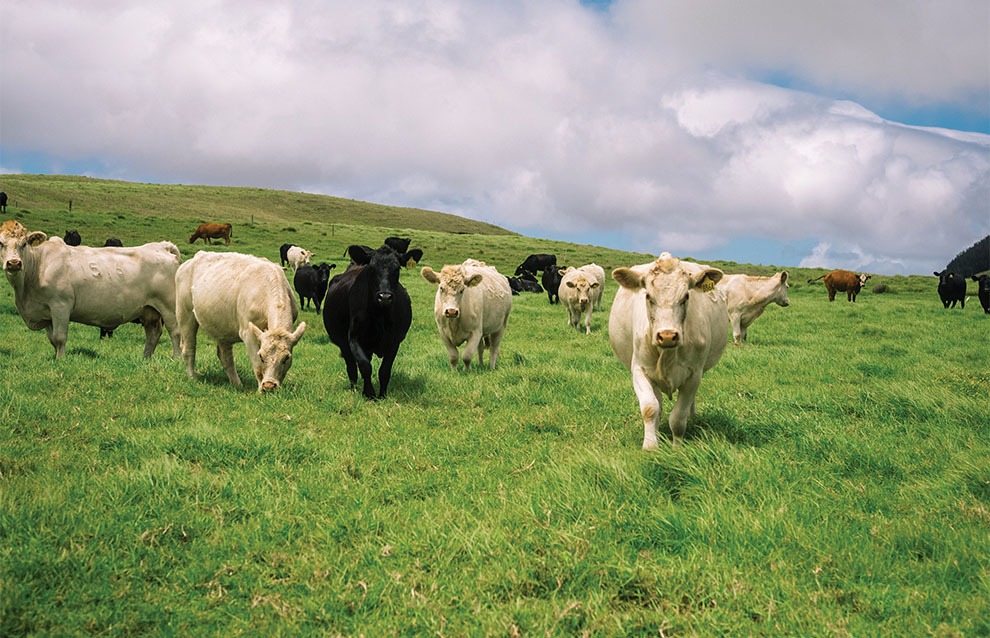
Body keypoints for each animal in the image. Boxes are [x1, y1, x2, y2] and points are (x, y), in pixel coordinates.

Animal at [0, 220, 182, 359]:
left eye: (24, 244)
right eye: (1, 244)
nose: (14, 263)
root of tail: (162, 246)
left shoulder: (60, 305)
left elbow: (59, 338)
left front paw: (61, 360)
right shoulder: (47, 312)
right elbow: (52, 340)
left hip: (169, 307)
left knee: (176, 333)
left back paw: (176, 359)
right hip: (149, 310)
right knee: (153, 333)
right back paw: (145, 358)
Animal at [176, 251, 306, 392]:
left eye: (286, 358)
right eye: (261, 356)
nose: (269, 385)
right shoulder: (247, 332)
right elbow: (257, 366)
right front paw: (260, 390)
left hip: (222, 327)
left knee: (225, 357)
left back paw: (237, 384)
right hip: (185, 315)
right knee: (189, 348)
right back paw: (192, 377)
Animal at [323, 243, 423, 399]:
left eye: (397, 268)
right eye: (371, 268)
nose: (385, 297)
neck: (380, 315)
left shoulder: (394, 341)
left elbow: (384, 370)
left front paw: (382, 395)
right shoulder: (354, 338)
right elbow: (365, 366)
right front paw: (369, 394)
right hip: (343, 343)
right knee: (351, 367)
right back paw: (354, 389)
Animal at [609, 252, 728, 448]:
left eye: (686, 296)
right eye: (648, 296)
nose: (667, 336)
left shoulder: (694, 374)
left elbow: (678, 418)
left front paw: (677, 447)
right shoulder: (639, 369)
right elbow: (650, 408)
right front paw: (650, 445)